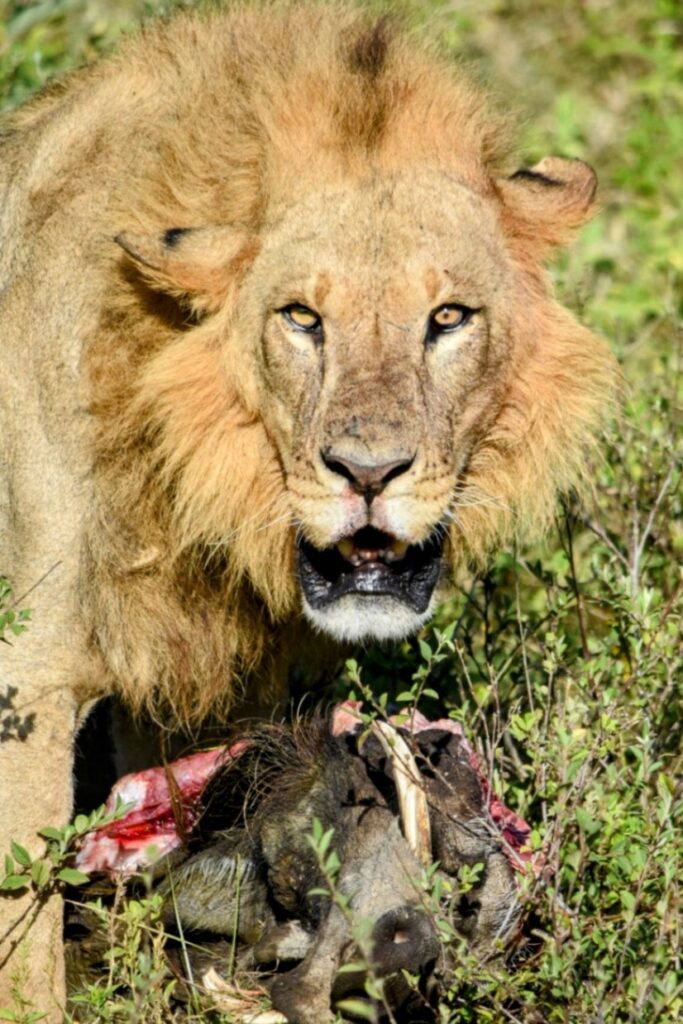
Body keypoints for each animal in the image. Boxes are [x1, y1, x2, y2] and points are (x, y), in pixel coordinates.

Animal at [0, 0, 618, 1015]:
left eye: (447, 318)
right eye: (301, 318)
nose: (367, 472)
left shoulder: (209, 690)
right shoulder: (30, 679)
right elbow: (26, 947)